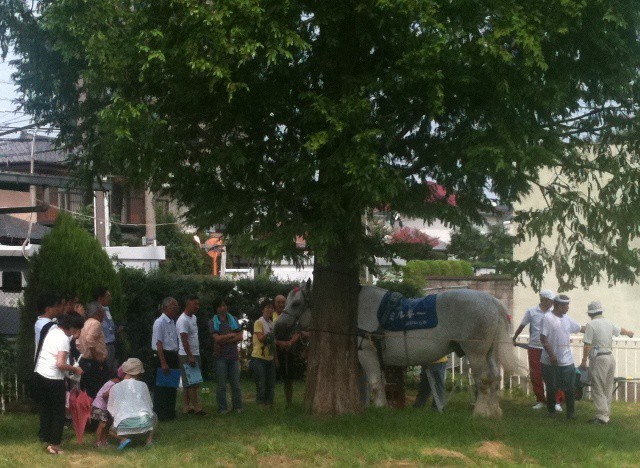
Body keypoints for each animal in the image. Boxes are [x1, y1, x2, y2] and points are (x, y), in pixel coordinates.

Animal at [274, 280, 520, 418]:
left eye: (296, 303)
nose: (278, 328)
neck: (357, 309)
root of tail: (492, 301)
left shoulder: (368, 353)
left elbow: (375, 383)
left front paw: (380, 408)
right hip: (489, 353)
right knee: (495, 378)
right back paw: (494, 412)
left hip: (475, 353)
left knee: (484, 379)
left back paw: (481, 412)